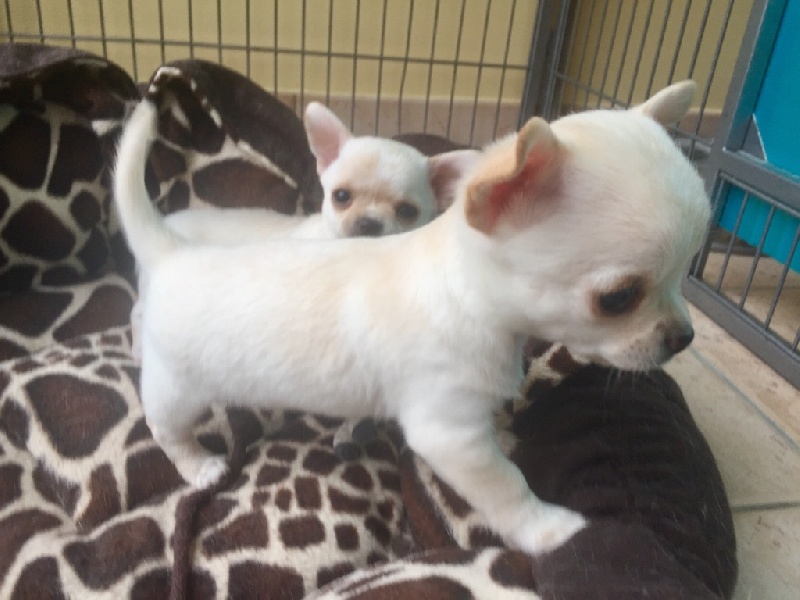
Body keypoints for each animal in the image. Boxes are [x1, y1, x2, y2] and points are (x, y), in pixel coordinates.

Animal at [113, 80, 710, 556]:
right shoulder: (450, 434)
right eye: (618, 299)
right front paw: (549, 530)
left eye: (684, 275)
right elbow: (507, 485)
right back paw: (198, 464)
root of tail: (173, 254)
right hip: (178, 388)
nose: (685, 338)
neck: (465, 294)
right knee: (165, 428)